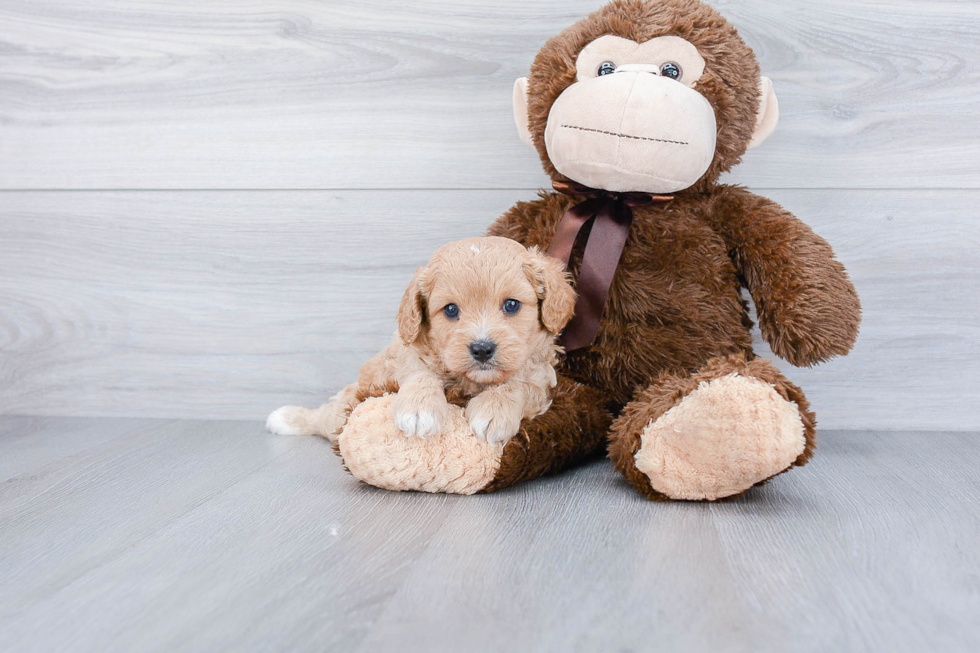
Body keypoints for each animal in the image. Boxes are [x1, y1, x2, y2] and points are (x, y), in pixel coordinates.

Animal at [264, 237, 580, 446]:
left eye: (512, 305)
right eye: (450, 310)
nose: (482, 349)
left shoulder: (540, 379)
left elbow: (516, 385)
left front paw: (493, 412)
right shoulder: (407, 356)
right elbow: (420, 375)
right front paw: (419, 410)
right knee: (326, 416)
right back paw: (287, 417)